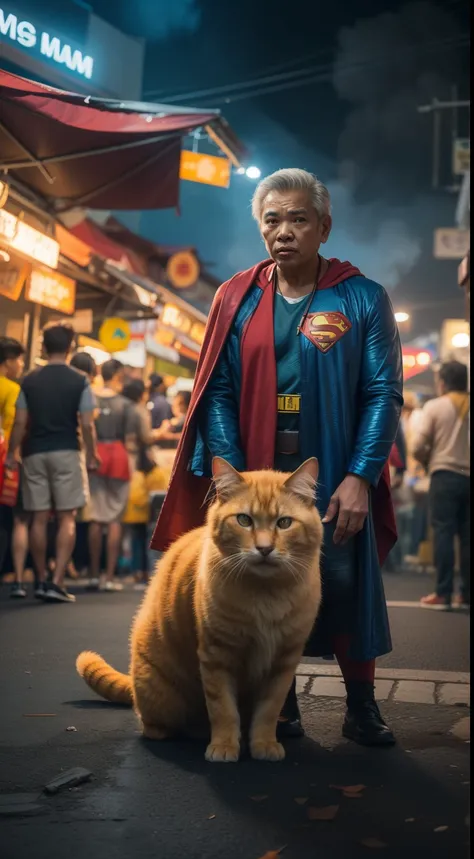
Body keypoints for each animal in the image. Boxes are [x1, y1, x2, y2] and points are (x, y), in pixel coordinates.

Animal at [77, 460, 322, 764]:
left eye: (284, 523)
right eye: (244, 520)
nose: (264, 548)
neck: (265, 596)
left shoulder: (284, 662)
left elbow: (268, 711)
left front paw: (264, 744)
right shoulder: (217, 654)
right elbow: (223, 709)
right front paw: (224, 746)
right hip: (160, 696)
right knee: (152, 724)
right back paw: (190, 731)